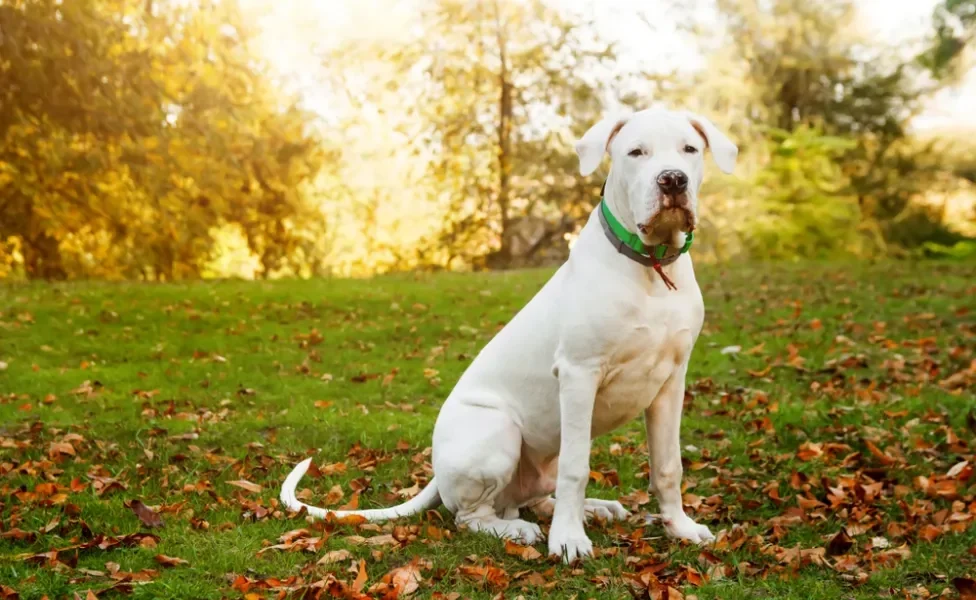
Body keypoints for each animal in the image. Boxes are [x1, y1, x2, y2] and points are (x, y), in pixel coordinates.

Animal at [278, 108, 736, 564]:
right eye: (636, 152)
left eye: (689, 149)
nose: (673, 180)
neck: (651, 268)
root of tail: (437, 470)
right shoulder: (579, 374)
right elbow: (576, 468)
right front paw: (568, 540)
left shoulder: (671, 381)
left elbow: (668, 465)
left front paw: (680, 527)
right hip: (497, 430)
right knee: (472, 516)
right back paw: (519, 530)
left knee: (535, 497)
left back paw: (595, 509)